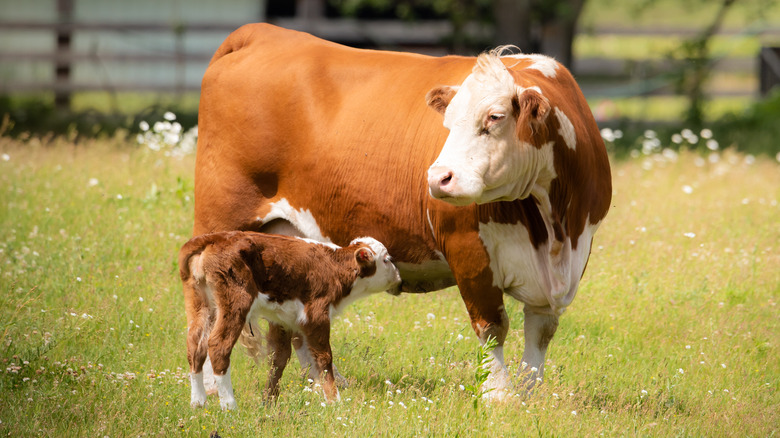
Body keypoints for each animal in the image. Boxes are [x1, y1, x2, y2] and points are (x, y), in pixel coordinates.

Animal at [179, 233, 400, 410]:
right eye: (387, 259)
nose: (399, 278)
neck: (334, 268)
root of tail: (215, 238)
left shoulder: (284, 321)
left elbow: (280, 359)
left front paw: (269, 400)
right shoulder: (316, 316)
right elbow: (324, 358)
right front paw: (333, 400)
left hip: (202, 305)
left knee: (195, 346)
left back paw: (198, 403)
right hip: (235, 302)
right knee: (218, 346)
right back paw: (229, 406)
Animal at [193, 24, 608, 396]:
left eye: (495, 116)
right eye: (447, 122)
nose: (438, 178)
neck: (552, 228)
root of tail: (262, 32)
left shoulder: (570, 260)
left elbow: (541, 332)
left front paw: (528, 395)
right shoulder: (468, 250)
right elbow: (492, 327)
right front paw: (499, 397)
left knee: (294, 329)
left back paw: (322, 384)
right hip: (220, 224)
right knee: (210, 314)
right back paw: (213, 387)